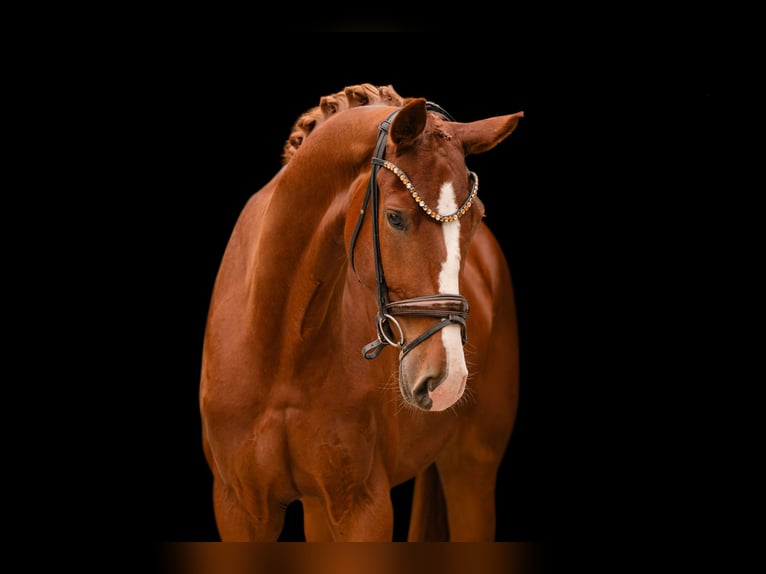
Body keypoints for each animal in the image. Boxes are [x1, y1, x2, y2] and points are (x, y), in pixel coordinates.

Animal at [199, 84, 524, 541]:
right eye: (394, 217)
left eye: (476, 218)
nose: (447, 380)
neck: (281, 345)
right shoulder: (239, 509)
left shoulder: (362, 508)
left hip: (471, 468)